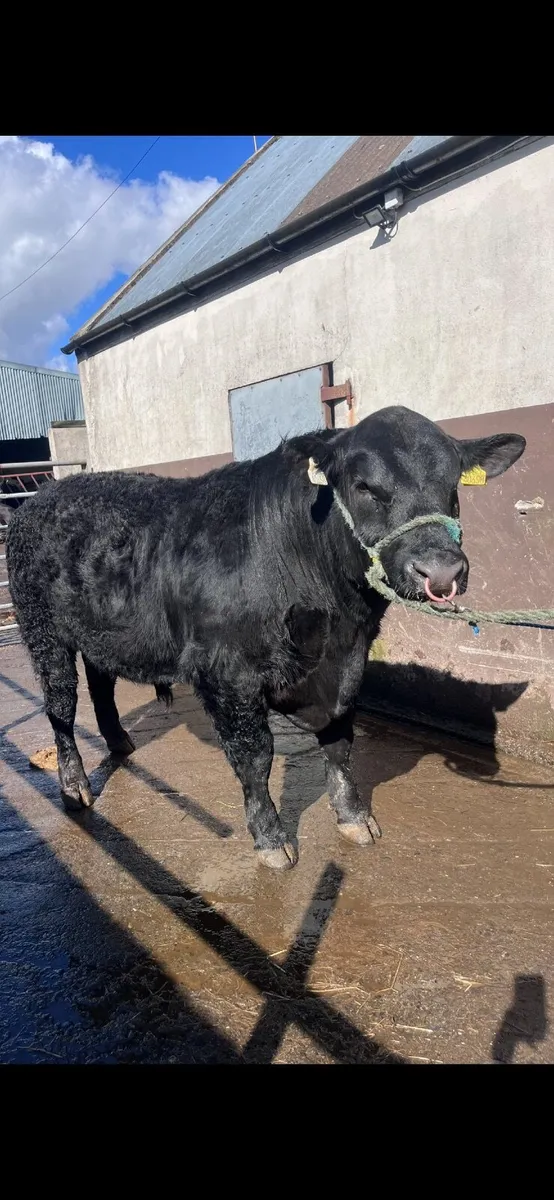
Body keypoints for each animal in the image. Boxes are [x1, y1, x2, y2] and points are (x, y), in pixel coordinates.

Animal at [6, 406, 525, 869]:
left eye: (453, 485)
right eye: (364, 487)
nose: (441, 571)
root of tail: (43, 495)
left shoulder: (347, 664)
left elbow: (340, 742)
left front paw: (354, 818)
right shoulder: (226, 673)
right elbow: (255, 756)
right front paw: (272, 840)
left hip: (99, 630)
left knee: (101, 685)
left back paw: (119, 744)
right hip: (42, 630)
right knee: (61, 705)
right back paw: (75, 787)